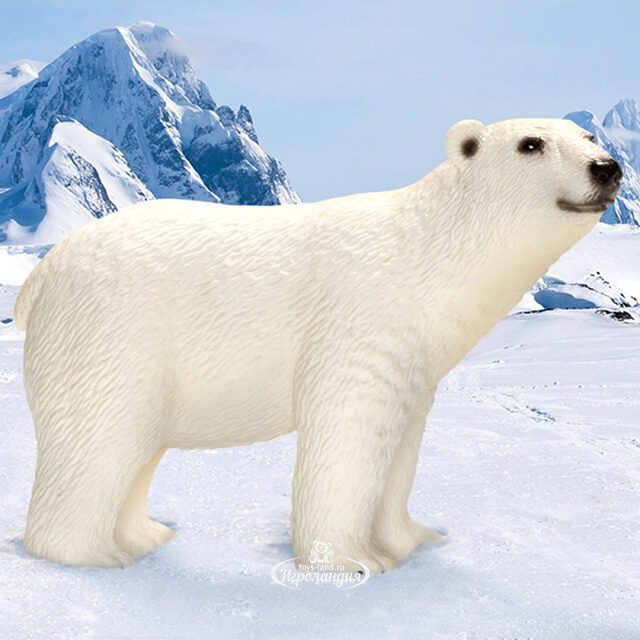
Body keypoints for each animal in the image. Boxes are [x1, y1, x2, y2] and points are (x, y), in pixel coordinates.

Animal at [14, 118, 621, 572]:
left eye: (587, 135)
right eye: (531, 143)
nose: (608, 167)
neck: (425, 255)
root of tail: (42, 274)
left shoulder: (414, 357)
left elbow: (400, 449)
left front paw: (411, 540)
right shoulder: (359, 317)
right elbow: (347, 433)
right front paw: (353, 561)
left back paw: (145, 535)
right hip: (113, 330)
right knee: (98, 436)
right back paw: (93, 555)